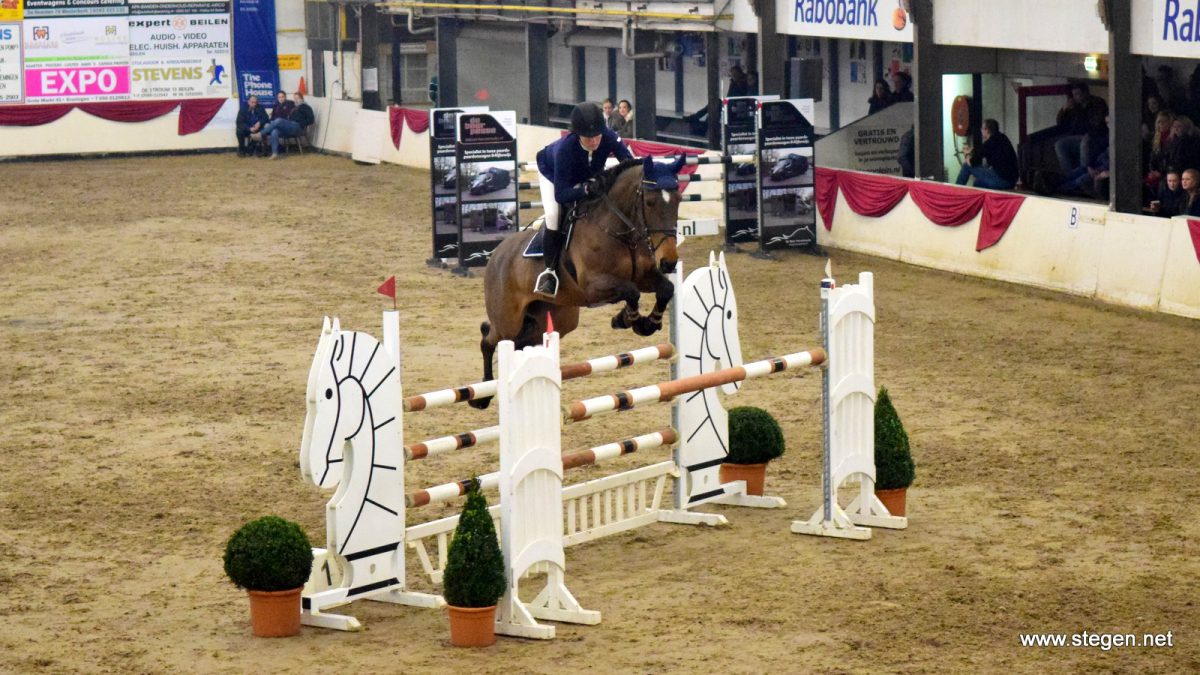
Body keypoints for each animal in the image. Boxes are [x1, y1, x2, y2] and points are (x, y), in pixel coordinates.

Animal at [472, 154, 691, 408]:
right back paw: (481, 396)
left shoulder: (644, 276)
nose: (668, 262)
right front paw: (630, 320)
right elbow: (631, 291)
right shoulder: (594, 286)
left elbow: (666, 288)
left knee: (523, 343)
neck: (620, 231)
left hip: (556, 318)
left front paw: (646, 322)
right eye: (650, 202)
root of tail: (495, 255)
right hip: (508, 320)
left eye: (678, 200)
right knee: (489, 339)